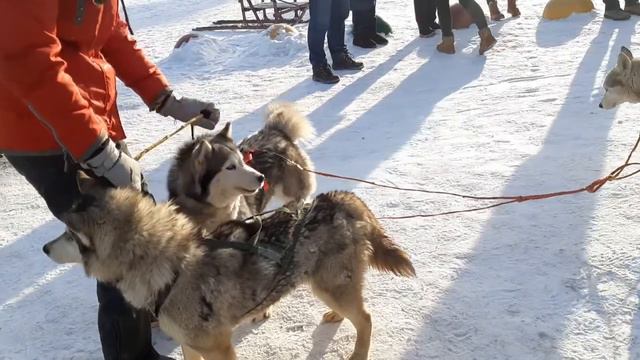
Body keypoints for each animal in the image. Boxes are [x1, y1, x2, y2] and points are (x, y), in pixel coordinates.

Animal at [43, 173, 416, 358]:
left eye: (67, 234)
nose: (44, 248)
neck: (169, 270)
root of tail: (339, 197)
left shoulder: (218, 347)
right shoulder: (192, 345)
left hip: (333, 285)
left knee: (366, 319)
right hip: (323, 285)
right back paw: (335, 317)